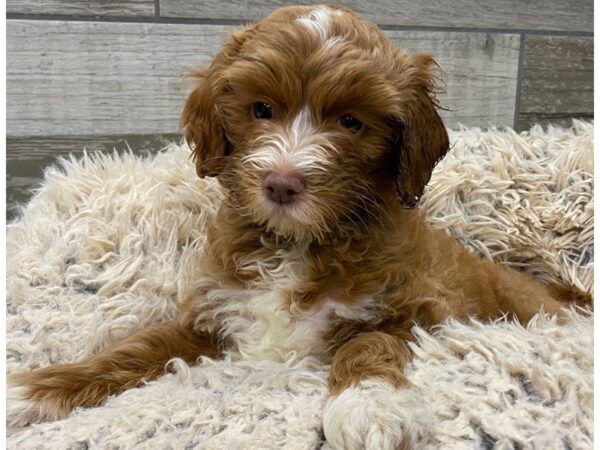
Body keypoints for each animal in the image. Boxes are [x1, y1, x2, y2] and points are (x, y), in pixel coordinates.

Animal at [5, 4, 584, 450]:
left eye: (350, 122)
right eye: (262, 109)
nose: (282, 182)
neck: (297, 242)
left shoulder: (419, 309)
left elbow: (368, 343)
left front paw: (370, 404)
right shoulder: (212, 316)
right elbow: (137, 348)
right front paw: (37, 389)